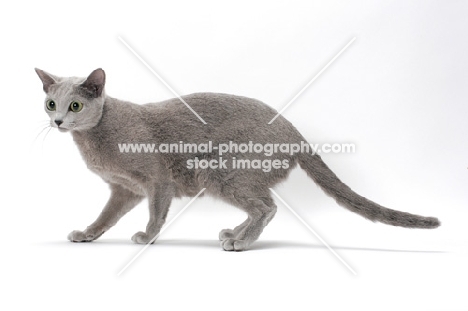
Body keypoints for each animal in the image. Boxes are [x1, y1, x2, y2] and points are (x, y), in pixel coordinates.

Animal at [34, 67, 440, 251]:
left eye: (75, 105)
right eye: (51, 103)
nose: (58, 120)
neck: (94, 138)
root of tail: (293, 130)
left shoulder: (157, 181)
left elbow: (155, 212)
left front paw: (147, 237)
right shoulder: (125, 189)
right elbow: (106, 215)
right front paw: (88, 234)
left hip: (218, 171)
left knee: (267, 206)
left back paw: (241, 243)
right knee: (265, 203)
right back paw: (235, 233)